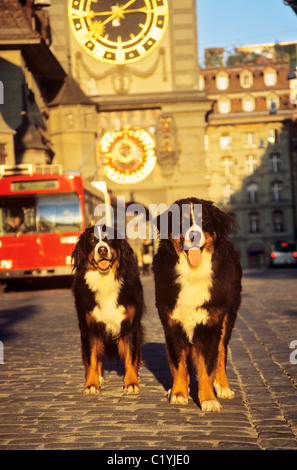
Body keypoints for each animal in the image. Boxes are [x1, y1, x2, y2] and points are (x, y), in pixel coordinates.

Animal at [73, 226, 145, 394]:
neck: (105, 281)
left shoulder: (130, 326)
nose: (102, 250)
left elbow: (131, 356)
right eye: (92, 240)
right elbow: (92, 359)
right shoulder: (89, 328)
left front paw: (132, 383)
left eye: (110, 239)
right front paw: (91, 384)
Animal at [151, 198, 242, 412]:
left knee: (221, 354)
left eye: (204, 220)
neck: (192, 273)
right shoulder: (173, 326)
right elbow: (179, 365)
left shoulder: (209, 326)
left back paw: (223, 387)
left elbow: (206, 367)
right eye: (181, 220)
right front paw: (178, 393)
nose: (194, 235)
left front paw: (208, 399)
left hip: (227, 320)